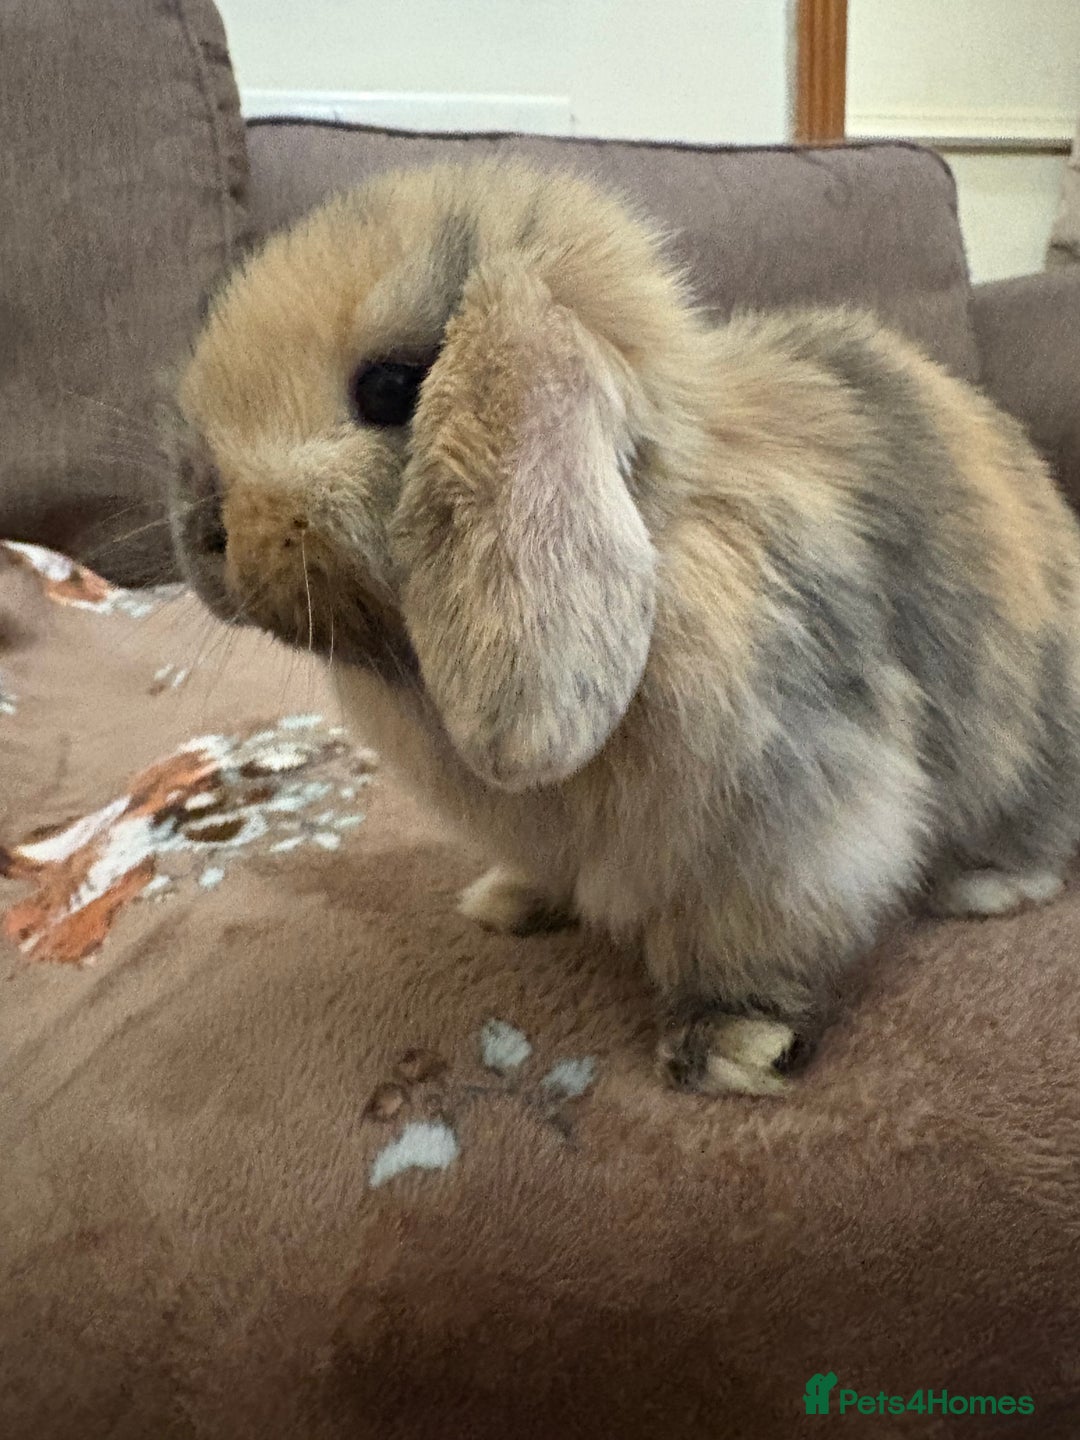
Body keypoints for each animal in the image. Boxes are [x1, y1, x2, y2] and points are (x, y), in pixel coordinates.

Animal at [169, 159, 1080, 1097]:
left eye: (389, 388)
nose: (200, 525)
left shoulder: (792, 826)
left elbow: (753, 937)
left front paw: (726, 1048)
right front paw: (506, 903)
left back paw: (983, 888)